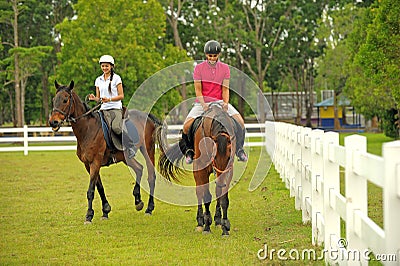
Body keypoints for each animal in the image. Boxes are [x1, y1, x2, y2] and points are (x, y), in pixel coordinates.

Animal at [48, 80, 164, 222]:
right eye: (54, 100)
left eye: (65, 100)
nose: (53, 122)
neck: (87, 129)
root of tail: (147, 117)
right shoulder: (88, 165)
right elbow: (99, 187)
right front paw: (105, 210)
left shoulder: (95, 162)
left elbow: (91, 190)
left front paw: (89, 215)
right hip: (125, 157)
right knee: (139, 169)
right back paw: (138, 201)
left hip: (148, 150)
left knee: (151, 176)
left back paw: (149, 208)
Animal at [159, 103, 236, 236]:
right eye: (214, 156)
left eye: (229, 156)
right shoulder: (201, 170)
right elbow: (206, 196)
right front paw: (206, 227)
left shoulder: (228, 171)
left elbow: (223, 198)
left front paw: (225, 227)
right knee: (199, 192)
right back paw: (200, 222)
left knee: (217, 192)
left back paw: (217, 220)